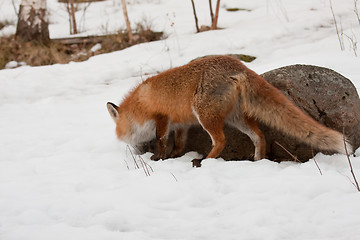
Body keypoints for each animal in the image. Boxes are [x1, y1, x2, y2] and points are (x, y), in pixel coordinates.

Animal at [105, 55, 352, 166]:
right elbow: (180, 143)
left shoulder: (162, 118)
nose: (135, 149)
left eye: (124, 131)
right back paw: (257, 160)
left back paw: (205, 161)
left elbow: (162, 140)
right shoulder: (181, 124)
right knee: (259, 135)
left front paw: (159, 157)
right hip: (235, 118)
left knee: (221, 140)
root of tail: (236, 63)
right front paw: (175, 156)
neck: (140, 105)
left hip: (205, 115)